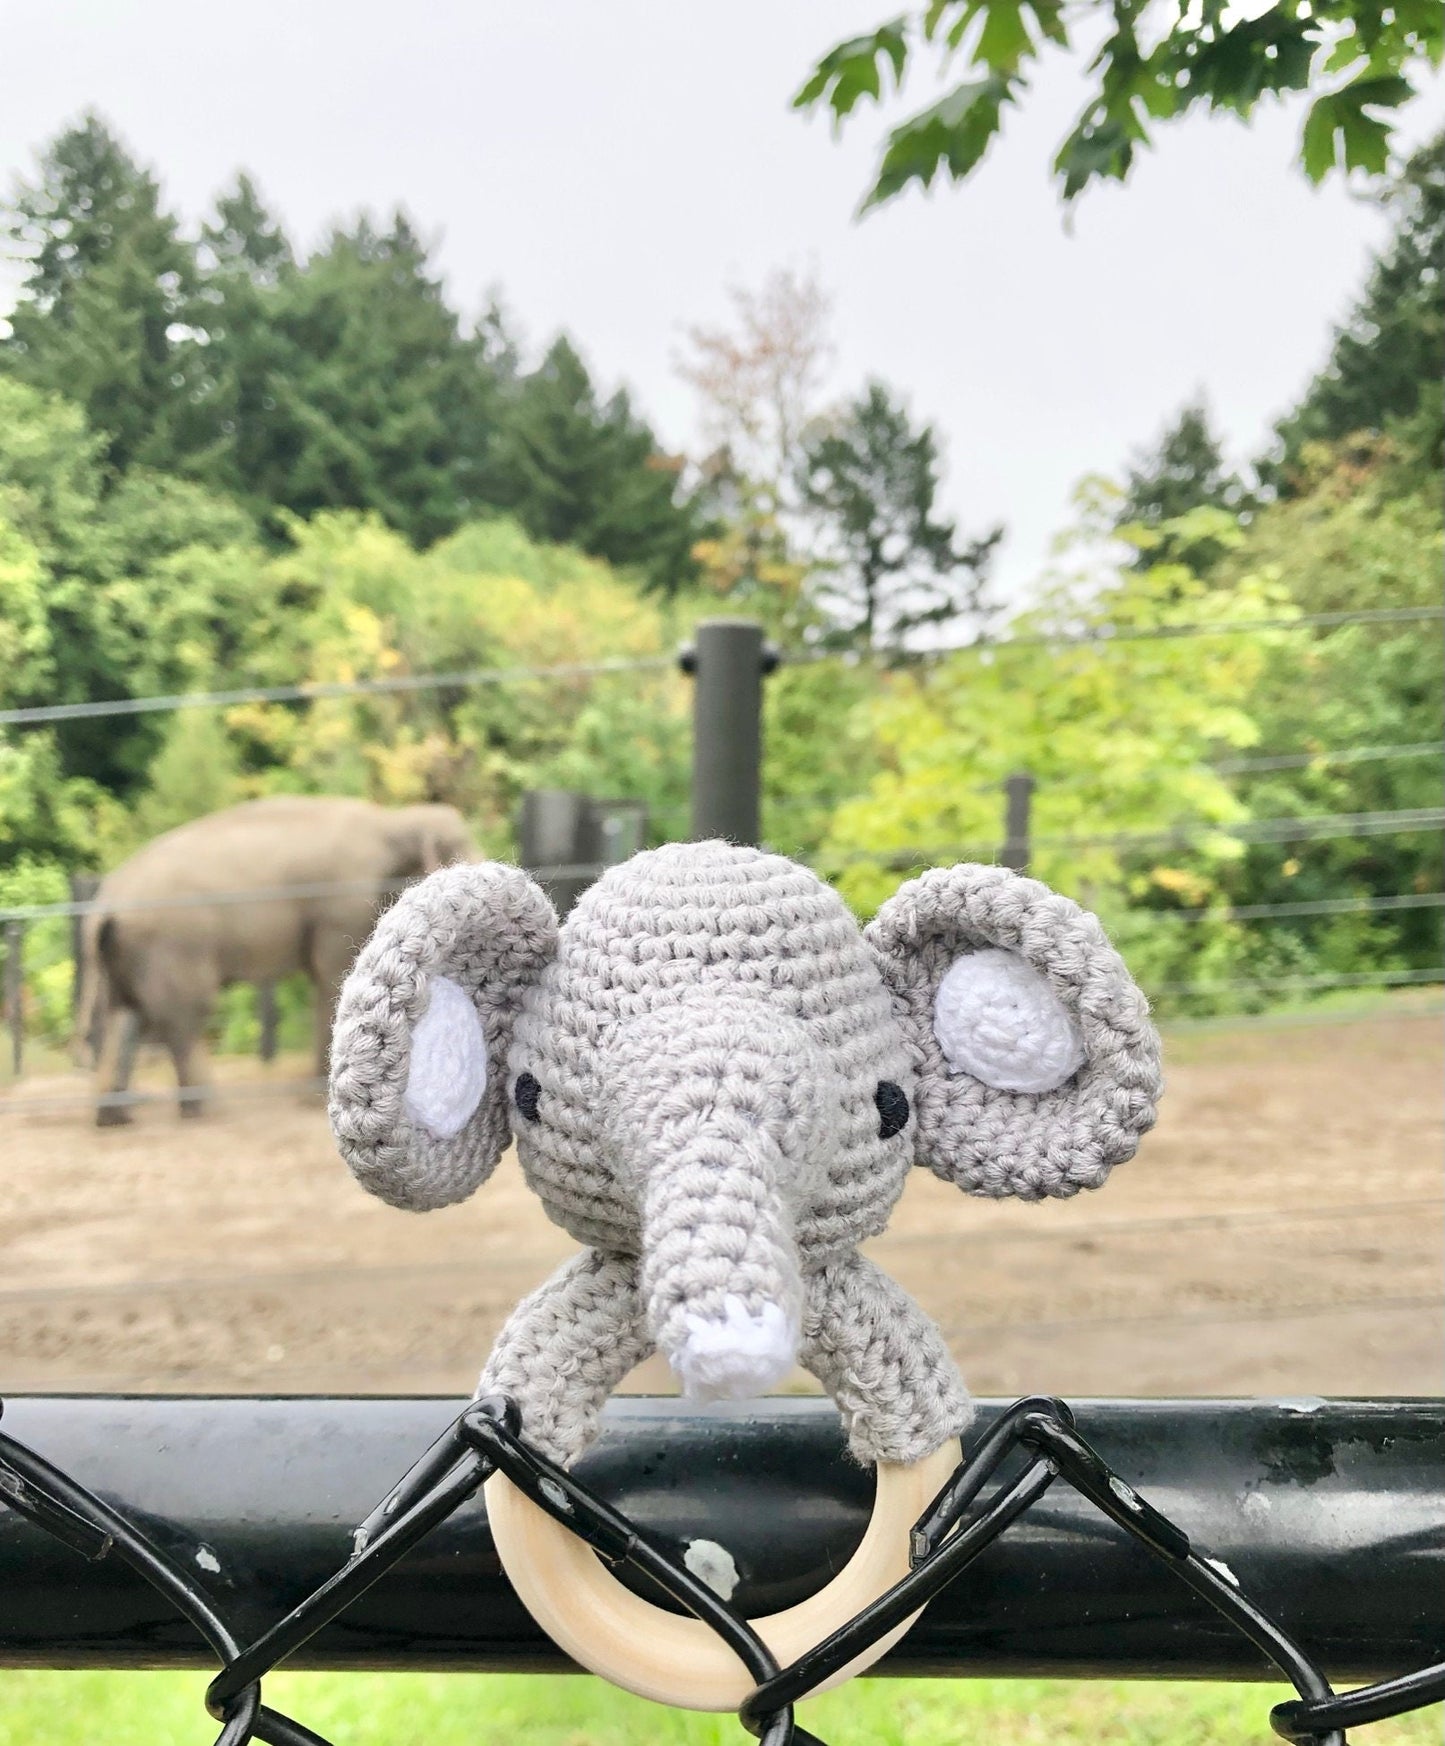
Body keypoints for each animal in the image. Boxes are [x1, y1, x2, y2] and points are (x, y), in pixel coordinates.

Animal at [80, 796, 476, 1126]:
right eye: (456, 849)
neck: (394, 820)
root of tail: (105, 903)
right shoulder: (342, 902)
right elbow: (335, 974)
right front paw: (318, 1099)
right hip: (173, 944)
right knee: (183, 1018)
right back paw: (210, 1110)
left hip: (123, 954)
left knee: (121, 1016)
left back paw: (115, 1118)